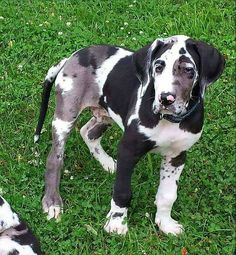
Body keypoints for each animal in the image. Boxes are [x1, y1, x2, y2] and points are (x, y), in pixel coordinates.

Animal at [34, 35, 225, 235]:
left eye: (189, 70)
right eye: (158, 67)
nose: (166, 99)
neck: (169, 120)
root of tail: (71, 57)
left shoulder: (177, 156)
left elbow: (168, 195)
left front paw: (165, 223)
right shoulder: (128, 150)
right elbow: (122, 192)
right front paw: (117, 223)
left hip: (106, 112)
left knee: (88, 132)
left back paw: (107, 163)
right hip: (65, 117)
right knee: (55, 158)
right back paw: (53, 202)